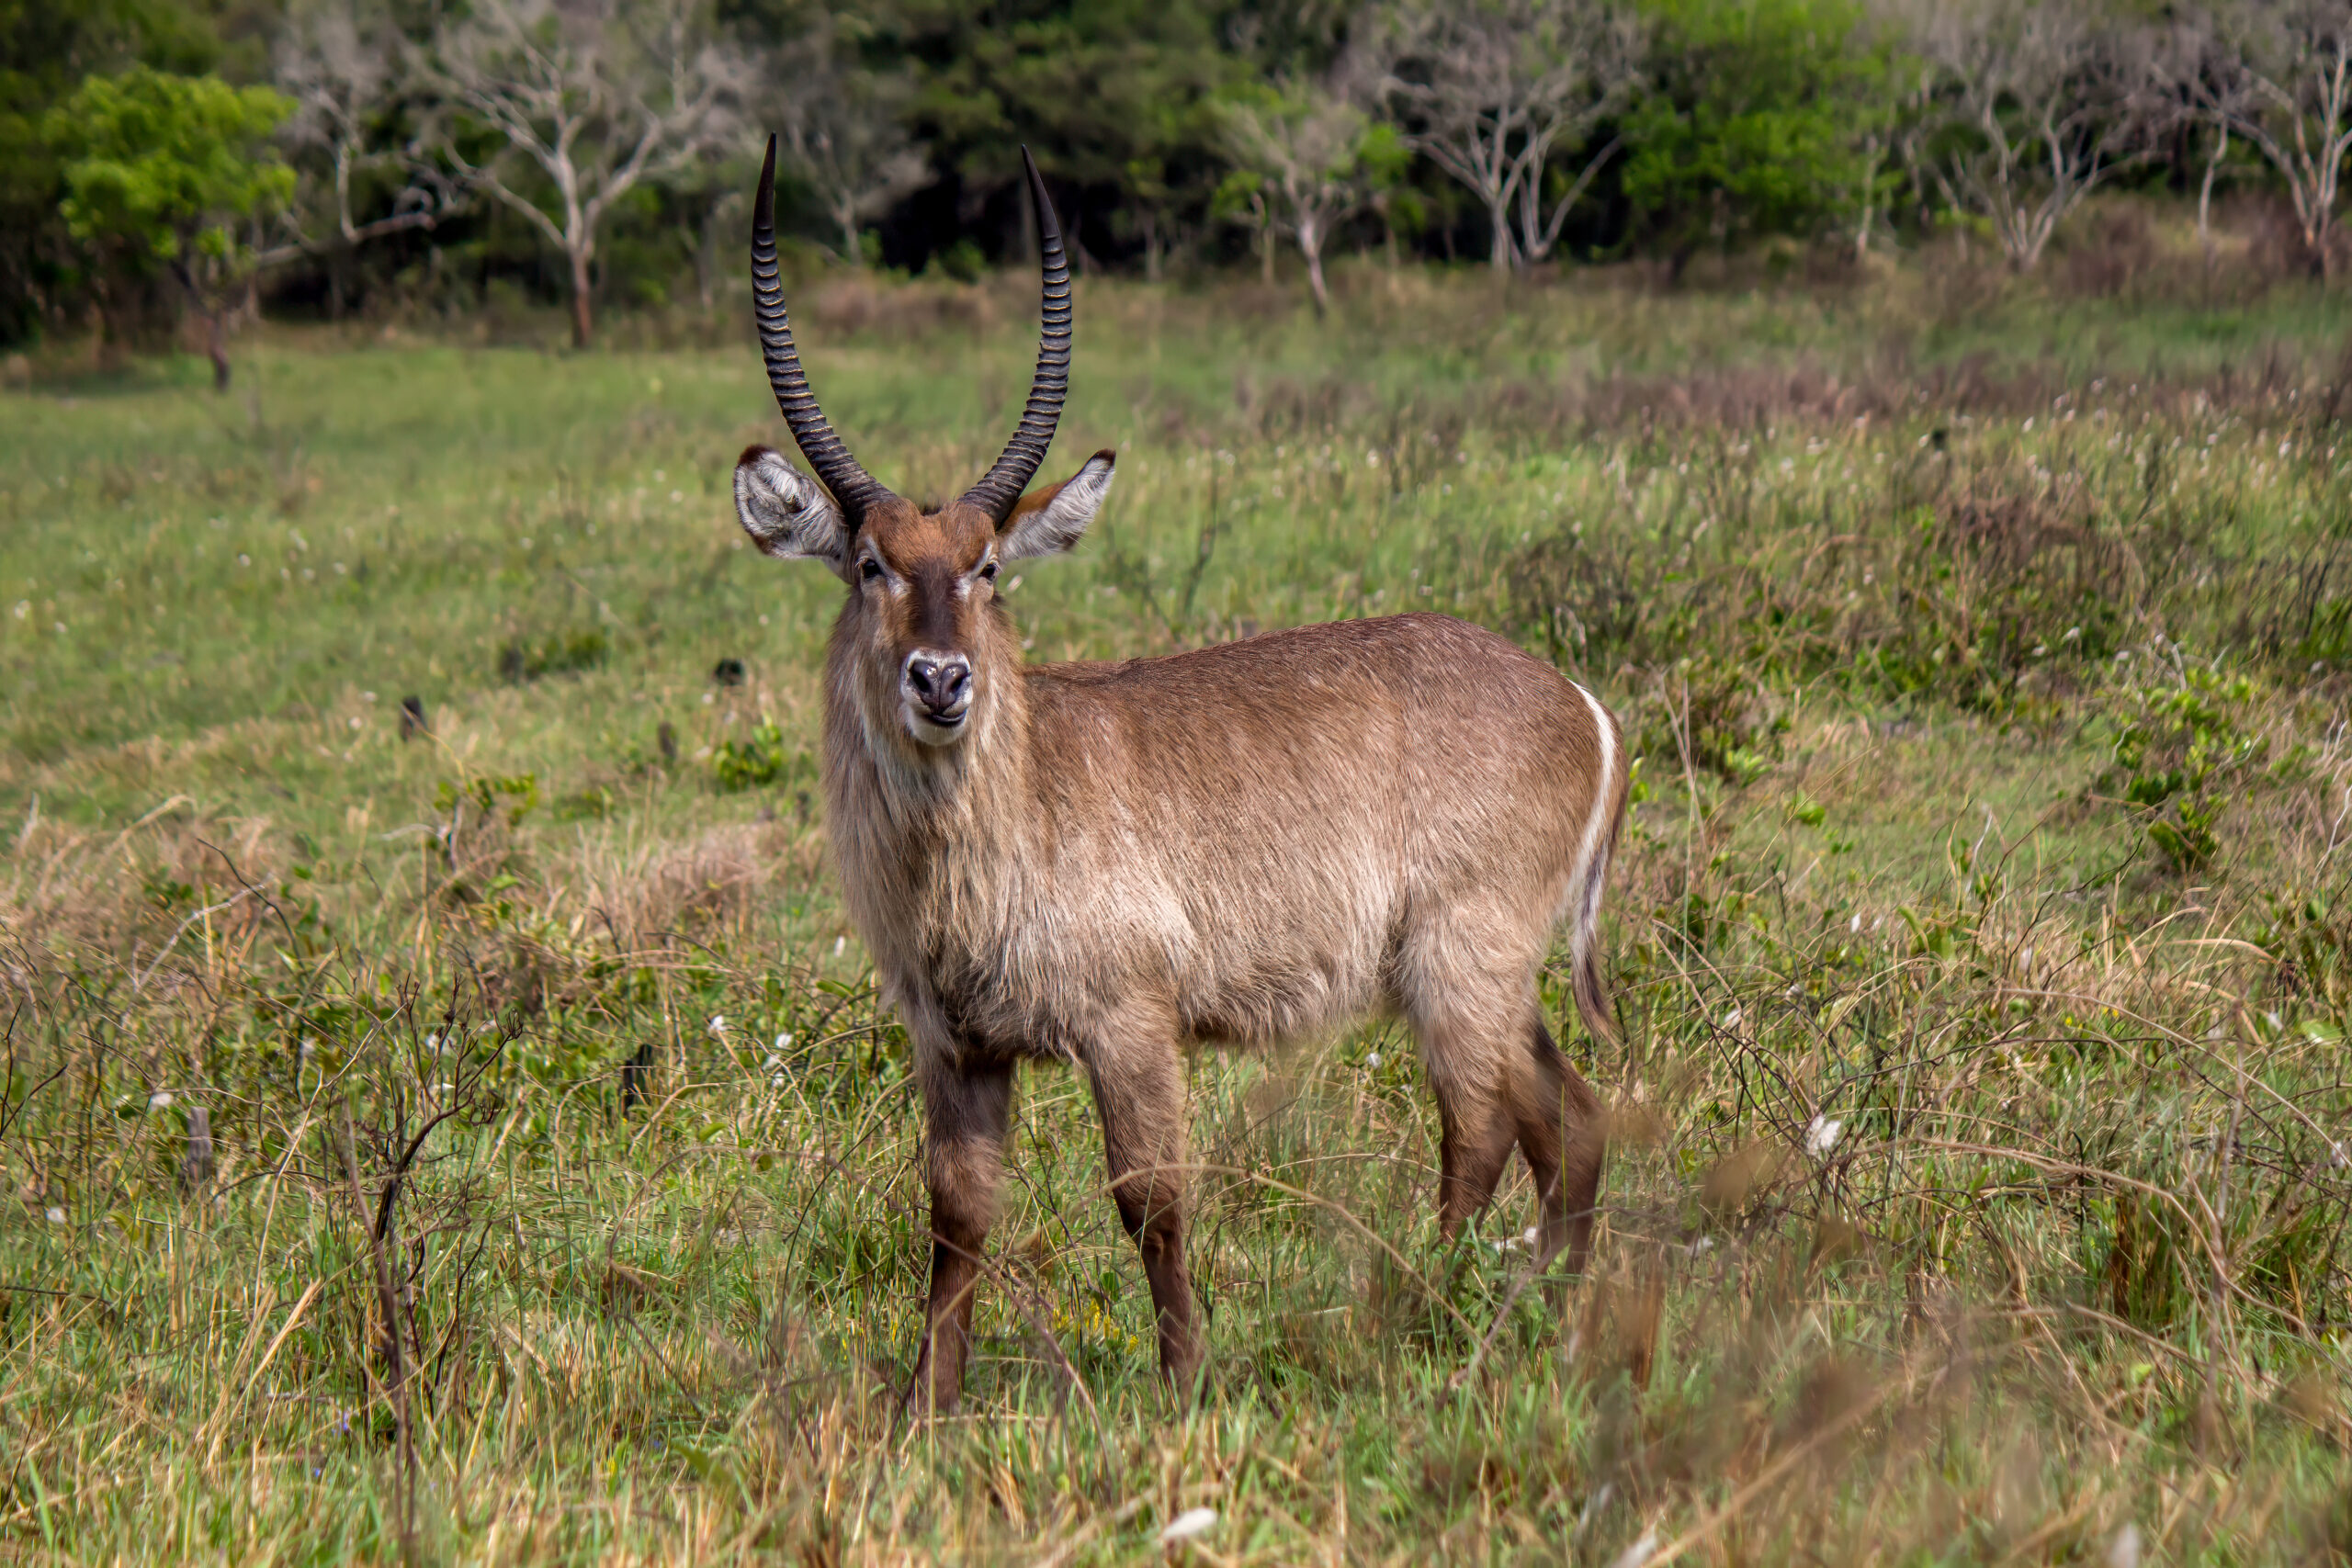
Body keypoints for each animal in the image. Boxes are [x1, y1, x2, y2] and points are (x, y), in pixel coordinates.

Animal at [724, 135, 1627, 1410]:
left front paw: (1184, 1383)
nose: (941, 681)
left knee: (1483, 1130)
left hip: (1461, 957)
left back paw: (1413, 1326)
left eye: (988, 567)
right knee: (1570, 1119)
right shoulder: (954, 1043)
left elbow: (1151, 1200)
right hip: (1496, 974)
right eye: (867, 565)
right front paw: (924, 1406)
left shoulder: (1130, 1023)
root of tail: (1578, 699)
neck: (1002, 819)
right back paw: (1547, 1325)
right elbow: (956, 1213)